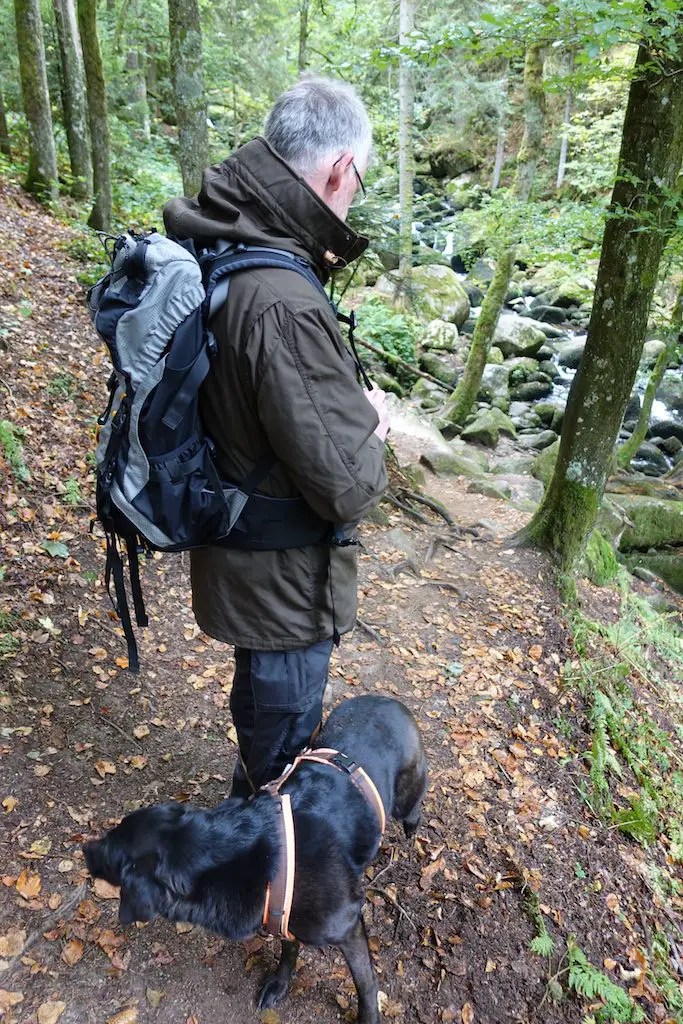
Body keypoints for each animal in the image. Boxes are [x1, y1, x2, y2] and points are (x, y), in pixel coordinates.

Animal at [82, 692, 428, 1019]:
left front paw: (369, 1016)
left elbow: (365, 983)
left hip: (406, 797)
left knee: (413, 810)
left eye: (111, 858)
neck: (256, 859)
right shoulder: (282, 914)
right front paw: (280, 983)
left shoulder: (348, 928)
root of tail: (388, 700)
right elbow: (289, 950)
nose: (85, 849)